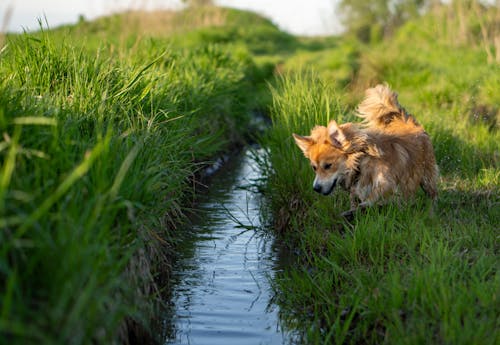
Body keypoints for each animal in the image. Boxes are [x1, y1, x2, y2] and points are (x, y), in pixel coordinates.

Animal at [292, 84, 438, 216]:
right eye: (314, 168)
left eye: (328, 166)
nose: (316, 188)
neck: (361, 164)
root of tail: (405, 120)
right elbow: (356, 201)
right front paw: (353, 212)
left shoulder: (387, 184)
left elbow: (373, 198)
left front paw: (358, 210)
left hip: (427, 175)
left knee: (432, 194)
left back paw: (431, 211)